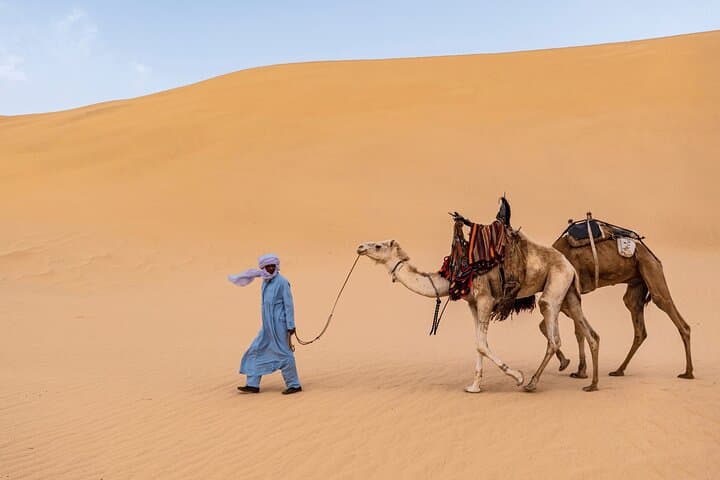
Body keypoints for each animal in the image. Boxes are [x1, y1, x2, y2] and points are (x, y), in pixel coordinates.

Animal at [357, 227, 601, 393]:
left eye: (378, 245)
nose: (359, 246)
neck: (454, 273)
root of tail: (569, 264)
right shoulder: (473, 304)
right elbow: (478, 344)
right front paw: (474, 386)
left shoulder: (485, 299)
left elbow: (481, 344)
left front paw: (517, 376)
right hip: (568, 292)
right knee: (589, 332)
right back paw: (591, 383)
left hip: (556, 283)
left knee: (553, 332)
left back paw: (531, 383)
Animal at [551, 228, 693, 379]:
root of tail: (653, 256)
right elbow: (577, 331)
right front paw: (578, 370)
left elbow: (575, 330)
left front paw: (574, 368)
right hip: (637, 283)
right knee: (639, 326)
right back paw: (619, 370)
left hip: (651, 269)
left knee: (668, 308)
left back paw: (688, 373)